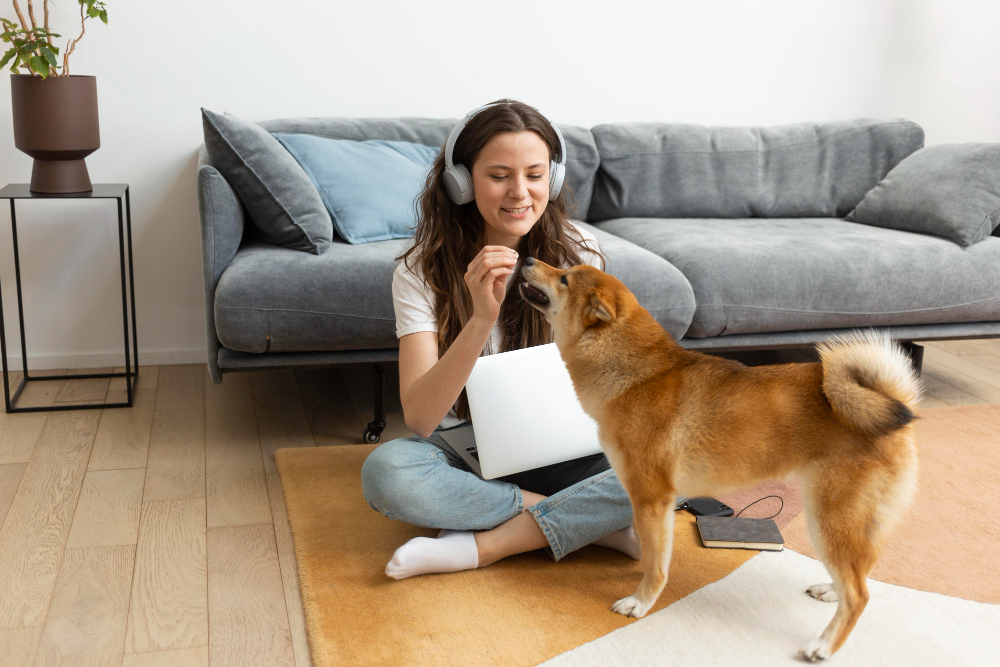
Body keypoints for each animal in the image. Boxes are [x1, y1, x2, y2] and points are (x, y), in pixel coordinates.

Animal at [520, 258, 916, 660]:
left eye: (564, 277)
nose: (528, 260)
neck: (636, 375)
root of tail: (893, 401)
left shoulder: (651, 498)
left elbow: (656, 565)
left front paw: (641, 601)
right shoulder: (652, 502)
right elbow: (654, 553)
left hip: (828, 519)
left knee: (859, 594)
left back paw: (822, 645)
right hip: (853, 523)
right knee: (858, 573)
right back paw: (830, 591)